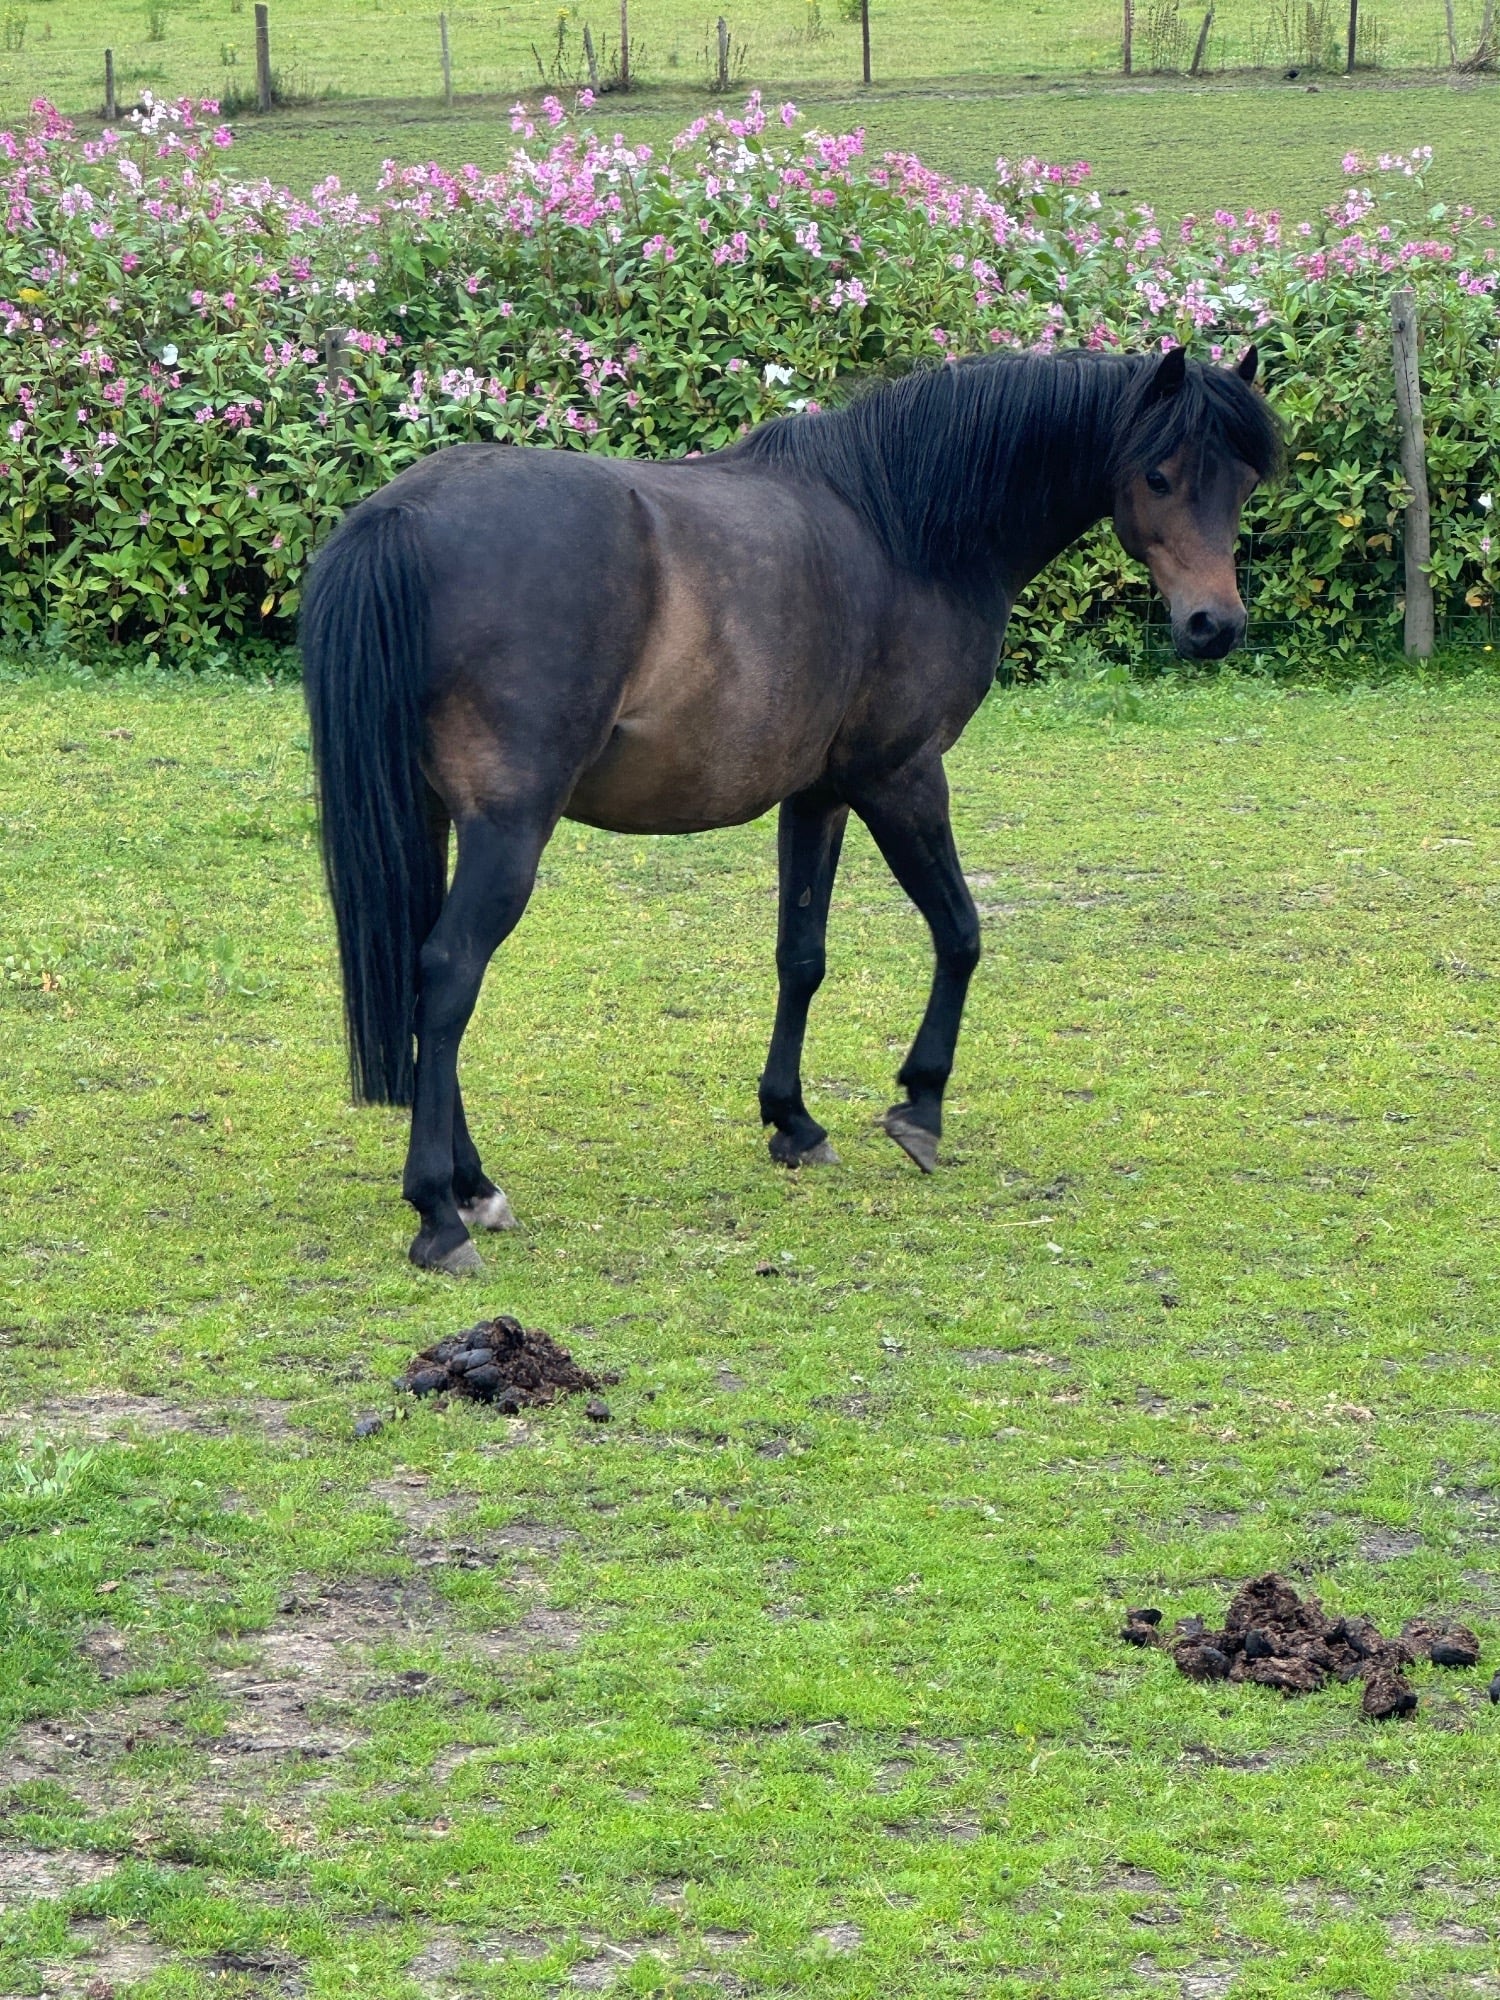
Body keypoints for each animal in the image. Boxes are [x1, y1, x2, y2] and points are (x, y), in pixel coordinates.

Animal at [302, 342, 1281, 1273]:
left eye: (1240, 481)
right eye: (1158, 475)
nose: (1214, 626)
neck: (901, 526)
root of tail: (403, 517)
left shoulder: (818, 795)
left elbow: (801, 956)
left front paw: (793, 1122)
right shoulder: (901, 778)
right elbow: (961, 933)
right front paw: (920, 1105)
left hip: (438, 819)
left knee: (425, 970)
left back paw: (473, 1186)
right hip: (510, 829)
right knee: (450, 974)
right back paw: (440, 1210)